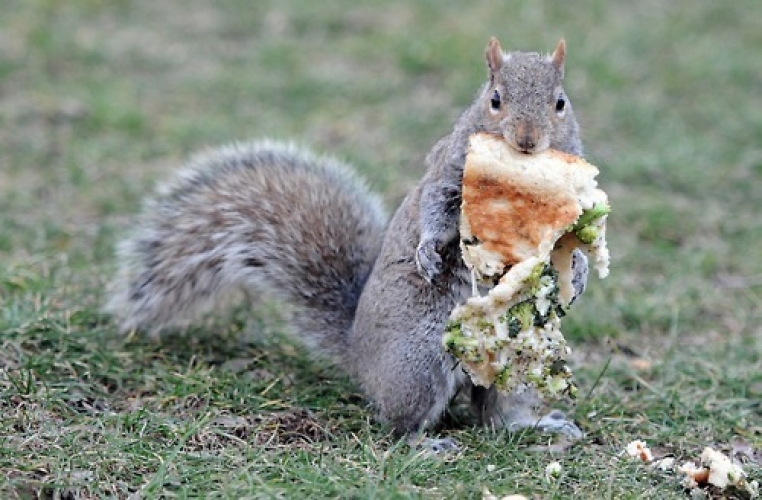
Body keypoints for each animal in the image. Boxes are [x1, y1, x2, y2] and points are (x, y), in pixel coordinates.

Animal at [106, 37, 587, 449]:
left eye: (560, 102)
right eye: (495, 99)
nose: (527, 141)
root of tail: (359, 355)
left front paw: (577, 270)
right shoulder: (449, 174)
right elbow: (434, 209)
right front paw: (428, 251)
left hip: (516, 360)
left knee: (495, 417)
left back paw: (537, 424)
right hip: (419, 361)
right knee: (401, 423)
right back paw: (425, 443)